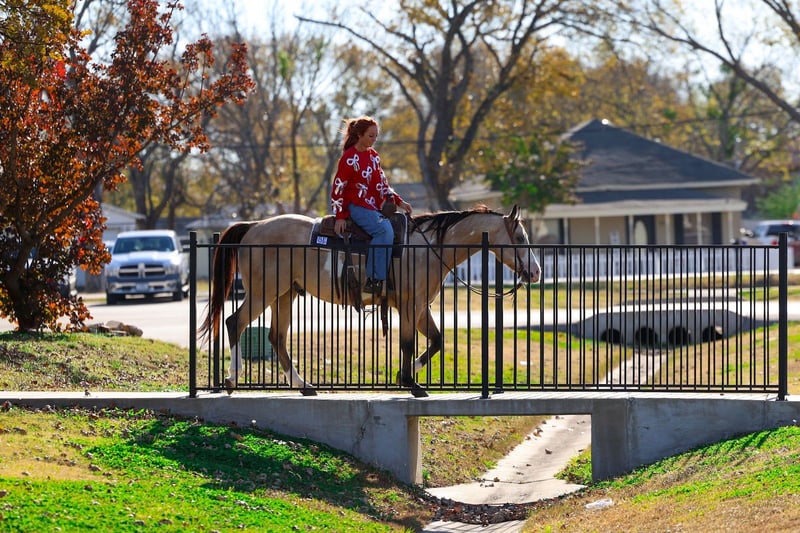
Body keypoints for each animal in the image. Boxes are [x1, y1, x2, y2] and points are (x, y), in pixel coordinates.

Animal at [198, 205, 541, 397]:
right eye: (520, 238)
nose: (535, 271)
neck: (427, 248)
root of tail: (253, 227)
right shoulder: (410, 305)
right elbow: (408, 344)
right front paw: (411, 382)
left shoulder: (420, 308)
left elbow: (436, 341)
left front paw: (408, 374)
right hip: (263, 292)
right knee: (234, 322)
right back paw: (231, 380)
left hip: (284, 295)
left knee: (277, 338)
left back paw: (304, 385)